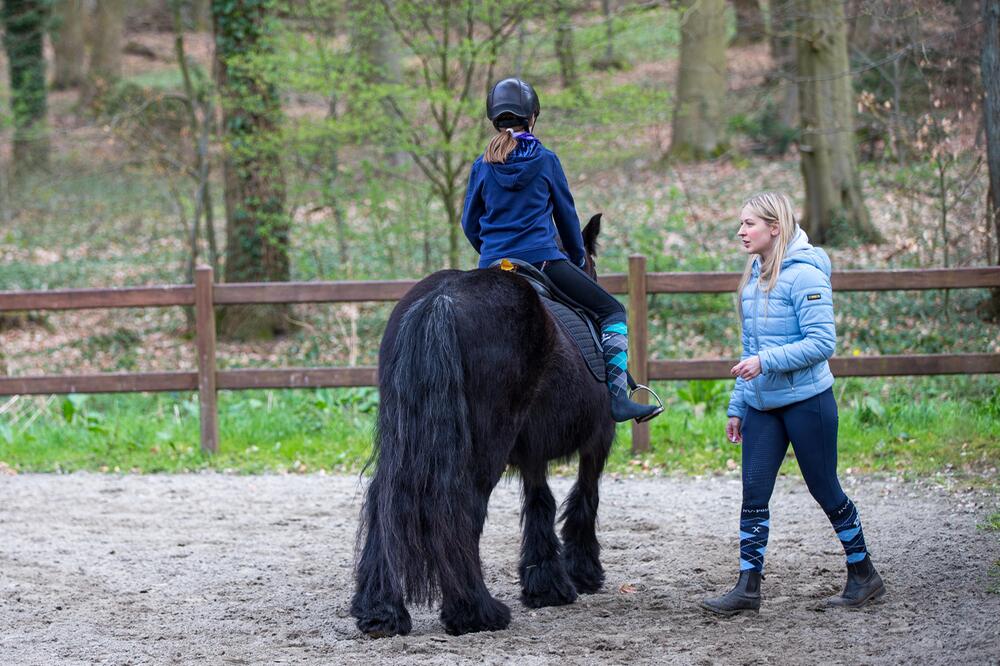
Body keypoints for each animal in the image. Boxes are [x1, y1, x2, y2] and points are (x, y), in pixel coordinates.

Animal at [352, 215, 616, 636]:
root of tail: (440, 300)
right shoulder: (599, 438)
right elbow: (583, 497)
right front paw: (582, 572)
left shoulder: (532, 450)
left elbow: (540, 501)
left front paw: (545, 584)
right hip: (487, 445)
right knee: (464, 509)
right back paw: (475, 611)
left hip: (405, 439)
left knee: (384, 502)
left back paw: (381, 611)